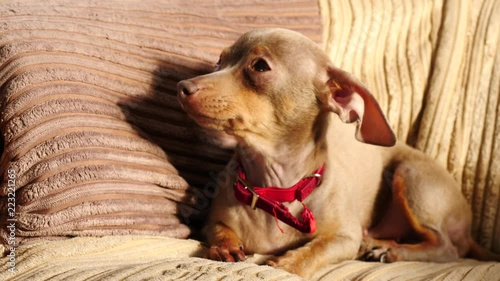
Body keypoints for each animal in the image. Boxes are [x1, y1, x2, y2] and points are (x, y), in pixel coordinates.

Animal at [177, 27, 500, 276]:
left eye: (259, 66)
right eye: (220, 61)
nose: (182, 87)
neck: (275, 190)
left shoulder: (345, 237)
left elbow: (317, 248)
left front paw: (286, 263)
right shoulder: (212, 222)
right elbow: (219, 230)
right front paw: (226, 247)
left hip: (412, 177)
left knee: (446, 248)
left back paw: (389, 250)